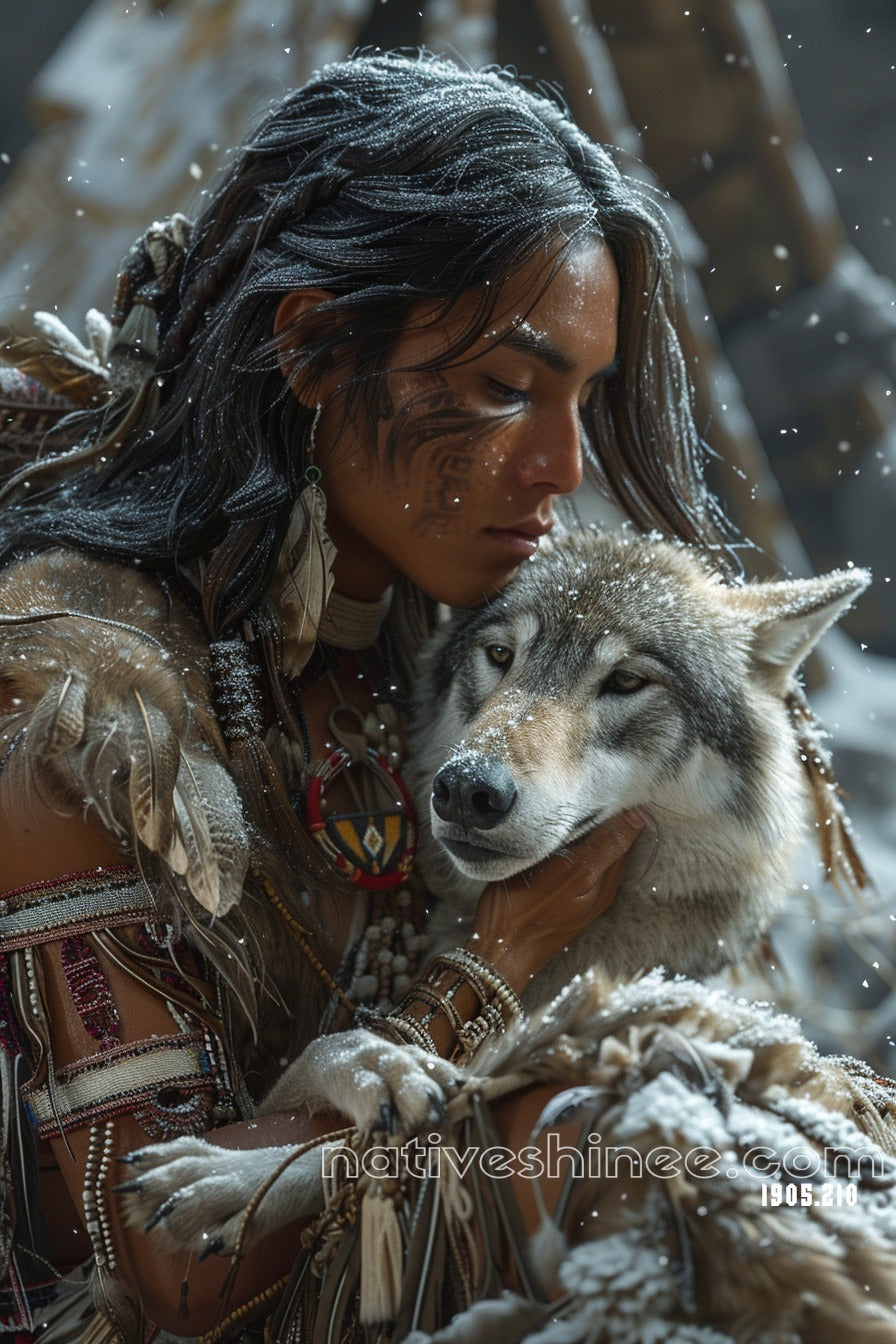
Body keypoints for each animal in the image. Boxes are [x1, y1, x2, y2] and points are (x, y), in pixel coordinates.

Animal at [120, 527, 870, 1256]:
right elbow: (322, 1064)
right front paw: (374, 1069)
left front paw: (229, 1182)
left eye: (627, 680)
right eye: (501, 655)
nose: (466, 790)